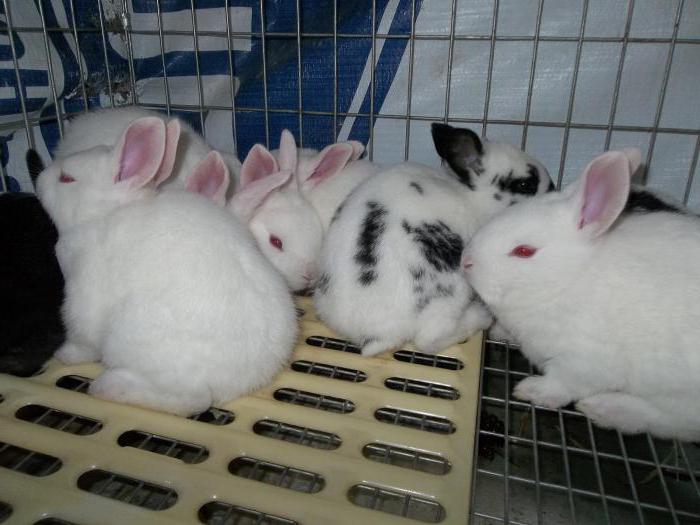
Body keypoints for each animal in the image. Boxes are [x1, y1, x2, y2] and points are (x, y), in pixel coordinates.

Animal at [33, 116, 298, 416]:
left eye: (67, 178)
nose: (39, 178)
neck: (102, 215)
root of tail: (240, 378)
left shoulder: (82, 297)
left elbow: (82, 339)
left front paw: (63, 355)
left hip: (131, 339)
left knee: (193, 399)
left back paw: (108, 387)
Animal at [313, 124, 553, 357]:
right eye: (525, 185)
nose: (553, 189)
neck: (468, 196)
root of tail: (377, 334)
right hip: (453, 290)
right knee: (429, 340)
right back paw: (480, 318)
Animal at [462, 148, 700, 441]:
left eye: (524, 251)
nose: (465, 261)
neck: (570, 279)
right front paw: (498, 332)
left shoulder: (585, 361)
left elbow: (563, 384)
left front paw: (532, 390)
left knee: (666, 421)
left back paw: (604, 408)